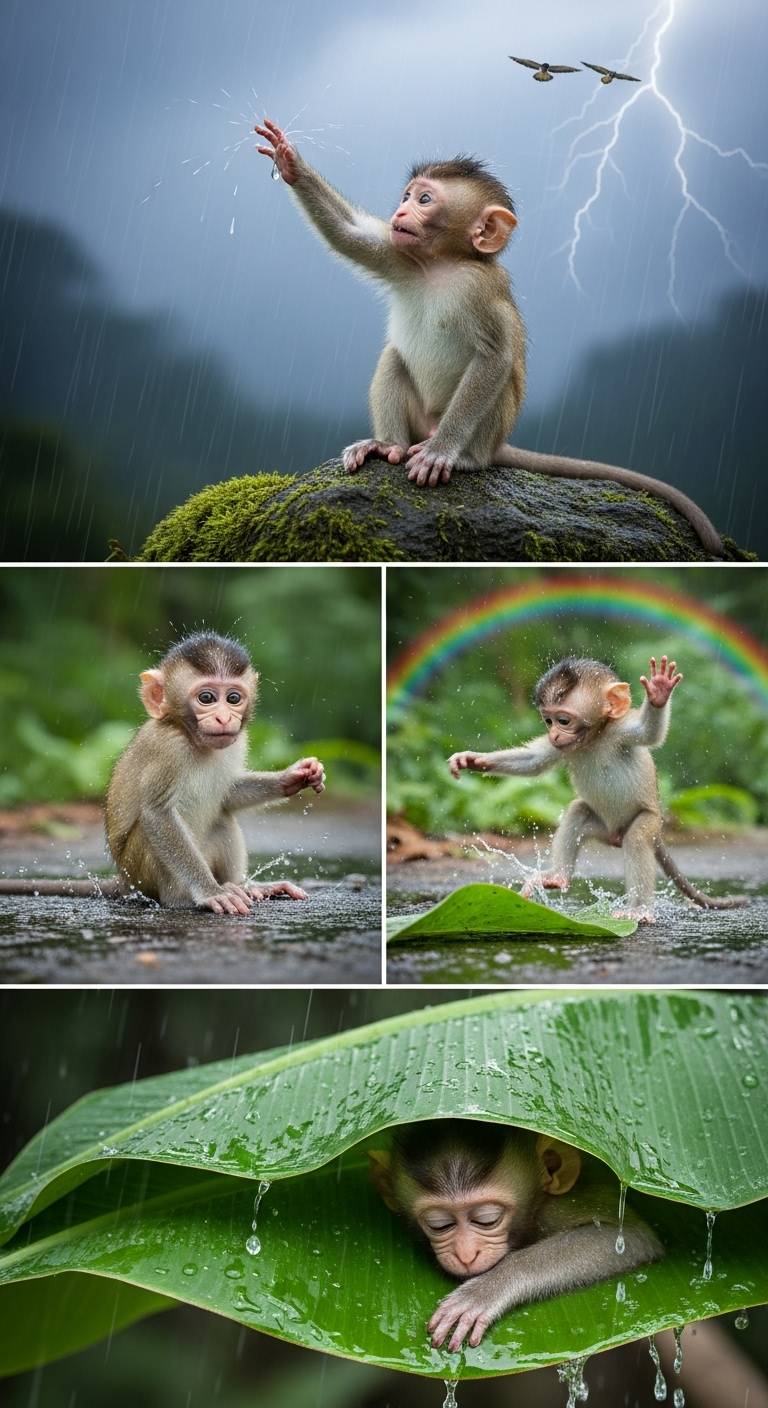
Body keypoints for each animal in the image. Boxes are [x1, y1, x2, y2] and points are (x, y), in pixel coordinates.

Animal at [254, 119, 725, 558]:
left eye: (425, 200)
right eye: (406, 197)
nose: (400, 215)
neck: (441, 264)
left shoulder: (479, 290)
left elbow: (495, 359)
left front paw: (442, 452)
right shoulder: (399, 254)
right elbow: (349, 235)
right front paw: (288, 160)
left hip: (484, 430)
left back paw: (456, 455)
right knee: (394, 357)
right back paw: (386, 445)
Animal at [367, 1119, 663, 1352]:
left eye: (487, 1220)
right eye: (440, 1225)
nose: (466, 1255)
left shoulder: (561, 1205)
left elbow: (629, 1237)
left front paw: (486, 1291)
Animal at [448, 655, 748, 922]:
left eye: (563, 721)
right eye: (548, 721)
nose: (553, 734)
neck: (594, 738)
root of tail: (615, 834)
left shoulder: (622, 732)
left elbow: (650, 733)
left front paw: (659, 691)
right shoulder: (562, 748)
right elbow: (533, 762)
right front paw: (473, 760)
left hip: (649, 821)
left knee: (636, 839)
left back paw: (638, 910)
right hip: (601, 827)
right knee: (578, 810)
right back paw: (557, 877)